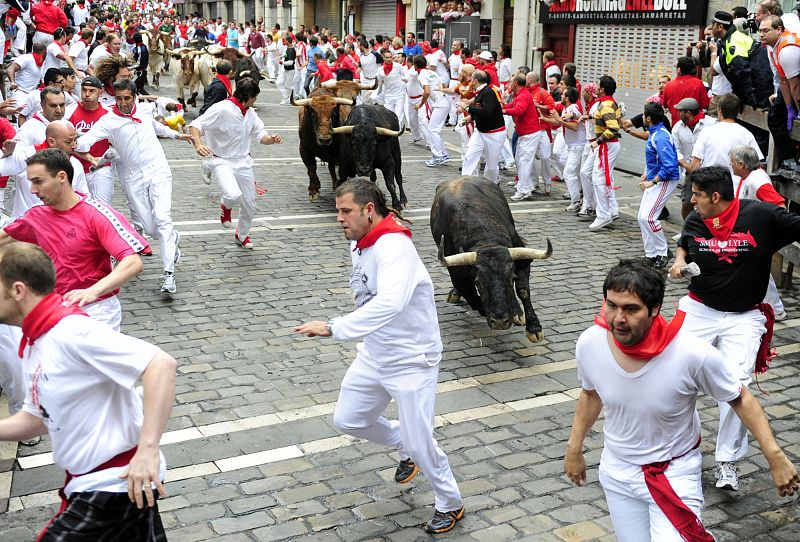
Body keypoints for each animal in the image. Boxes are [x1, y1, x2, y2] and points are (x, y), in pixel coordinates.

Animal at [428, 178, 552, 344]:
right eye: (478, 282)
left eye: (511, 278)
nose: (500, 322)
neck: (485, 238)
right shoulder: (457, 275)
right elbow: (473, 298)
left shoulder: (522, 258)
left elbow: (523, 290)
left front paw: (534, 328)